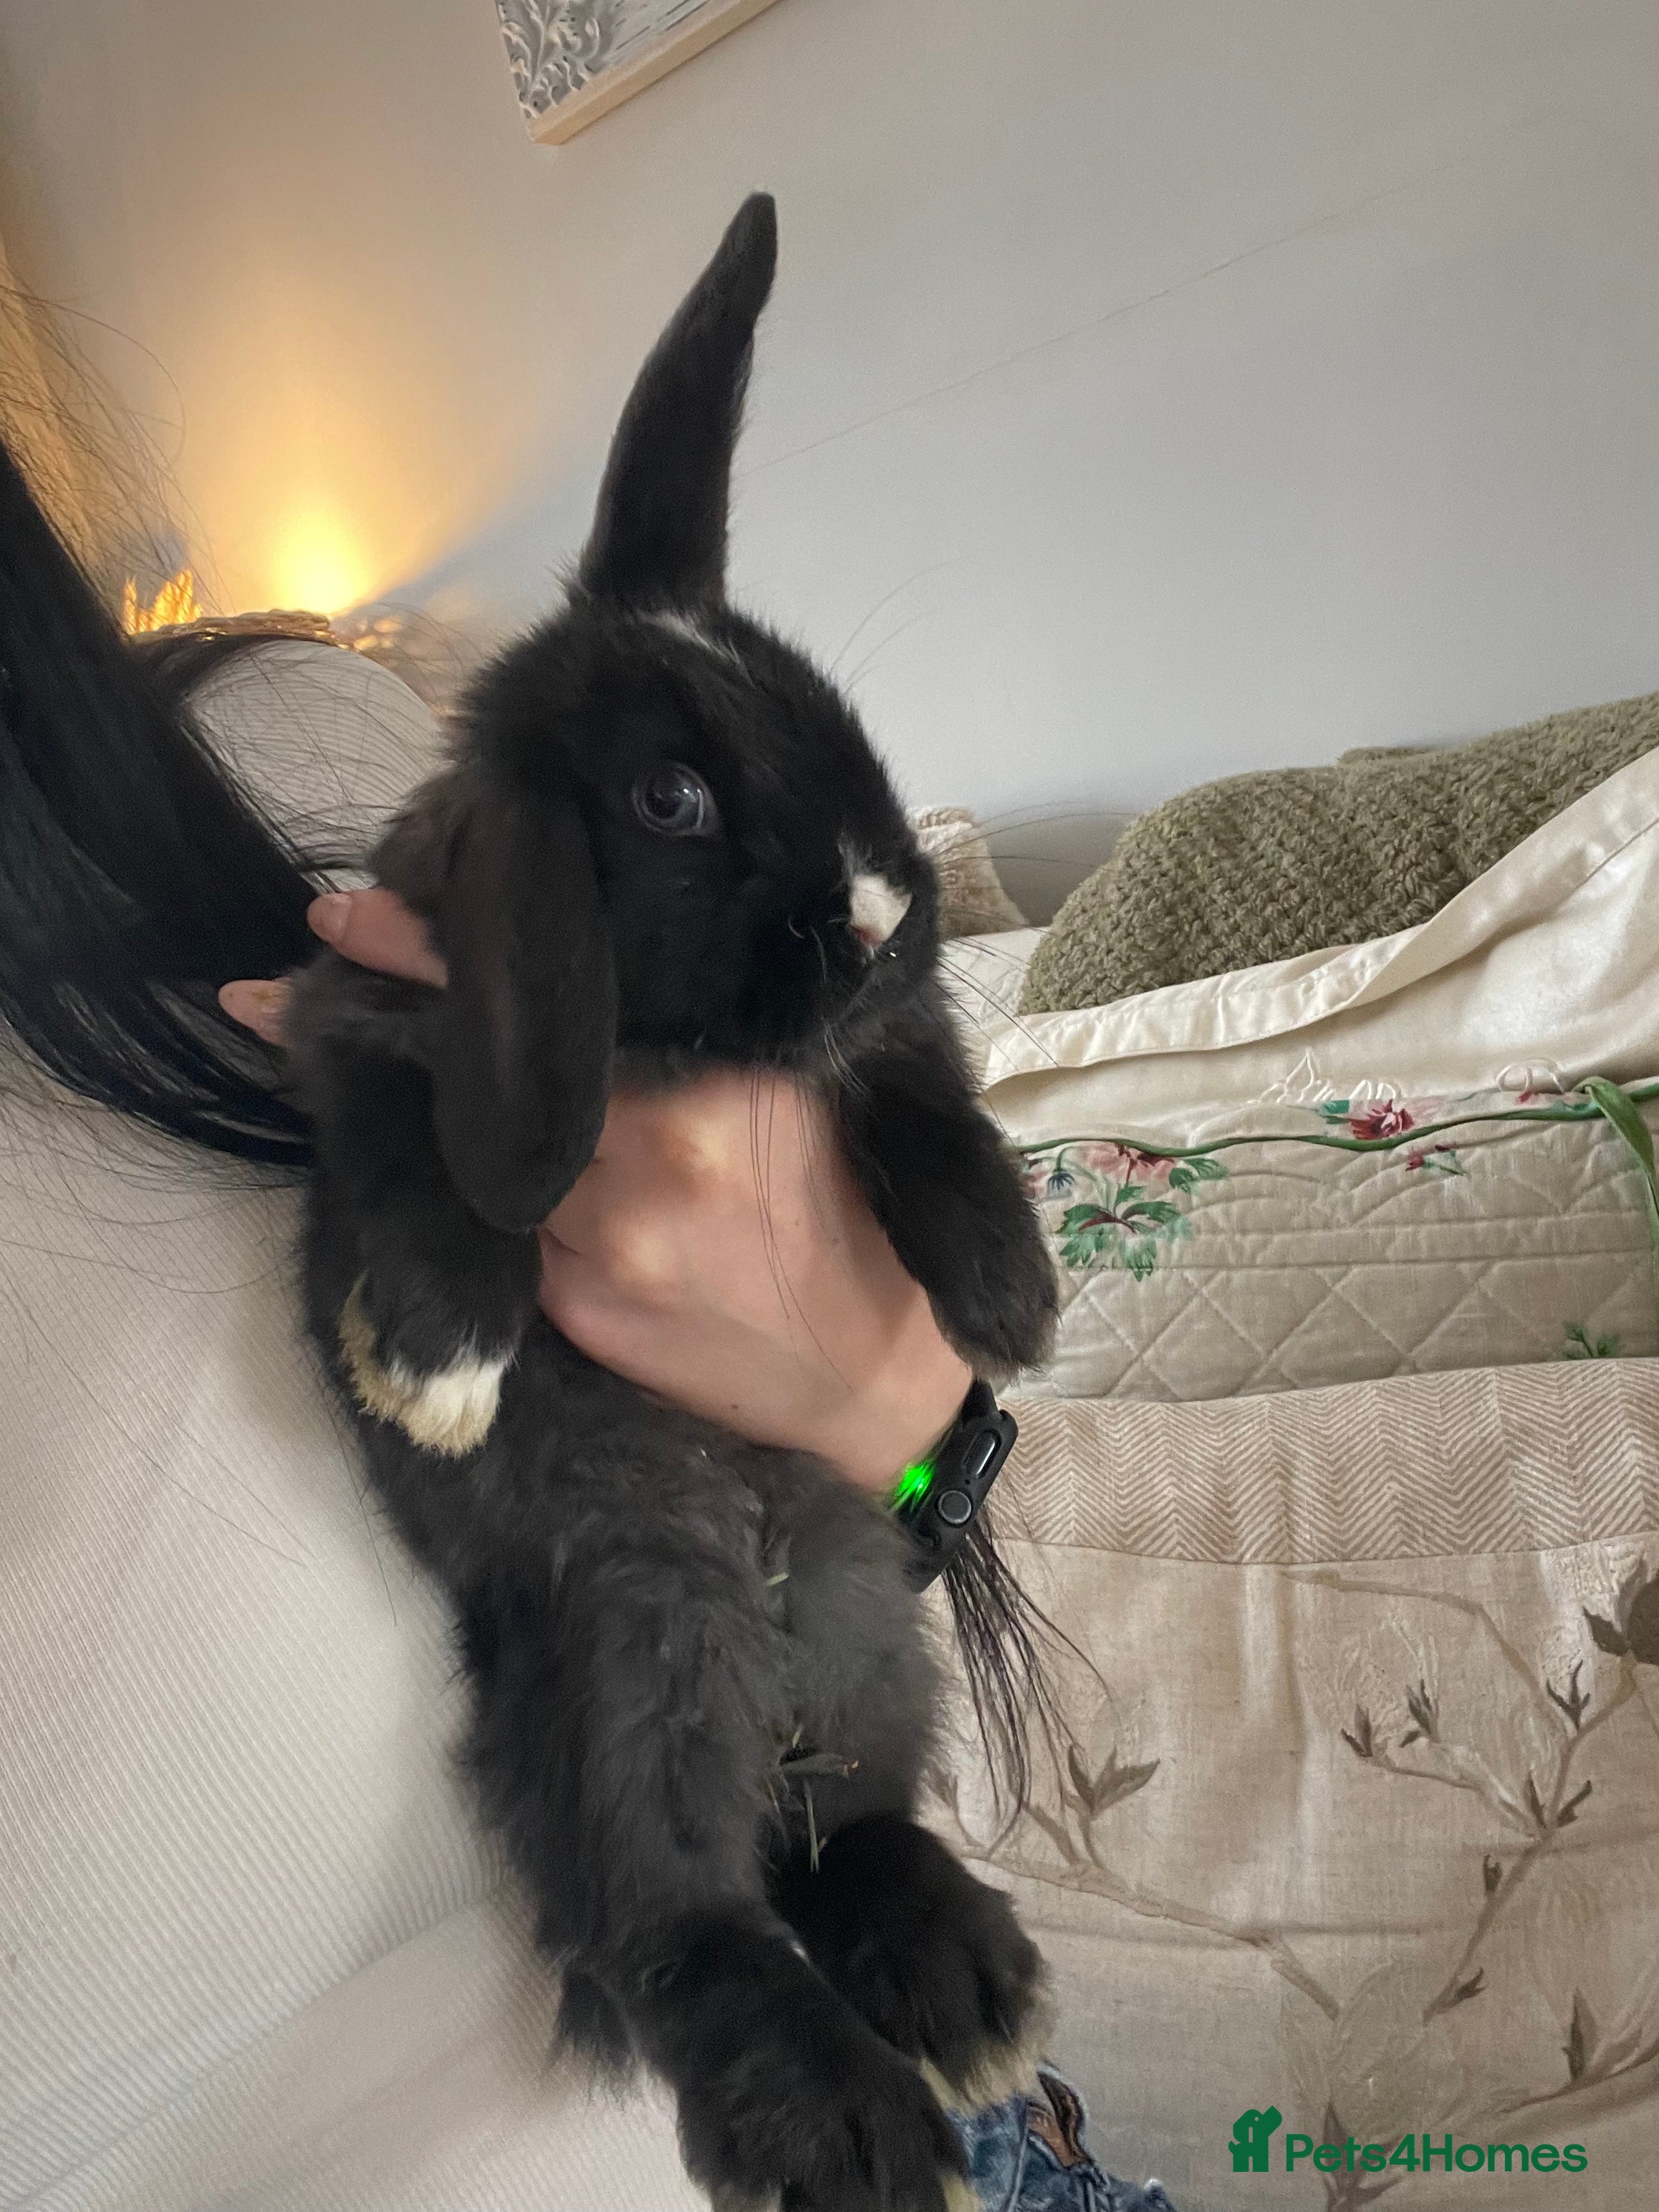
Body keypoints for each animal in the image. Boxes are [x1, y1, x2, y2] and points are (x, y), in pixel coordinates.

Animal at [0, 194, 1060, 2212]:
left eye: (830, 715)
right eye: (668, 797)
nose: (892, 911)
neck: (662, 1055)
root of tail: (768, 1682)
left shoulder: (876, 1057)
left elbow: (925, 1110)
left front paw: (1010, 1293)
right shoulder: (377, 1051)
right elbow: (435, 1174)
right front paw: (434, 1367)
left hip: (872, 1651)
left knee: (845, 1835)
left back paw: (968, 1988)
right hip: (621, 1677)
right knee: (682, 1927)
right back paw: (859, 2128)